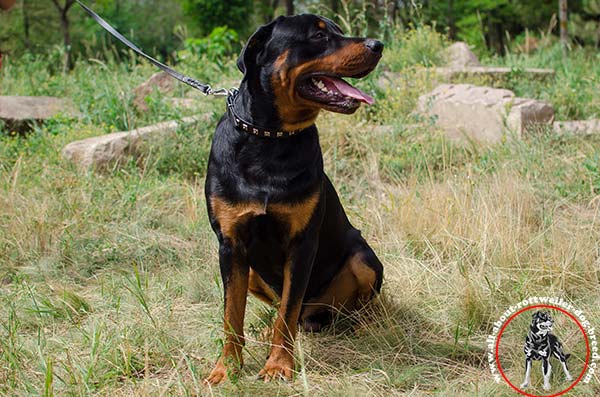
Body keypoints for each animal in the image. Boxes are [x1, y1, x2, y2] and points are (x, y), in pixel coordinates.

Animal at [204, 15, 384, 384]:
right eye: (318, 35)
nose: (378, 44)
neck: (270, 139)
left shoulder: (302, 243)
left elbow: (286, 314)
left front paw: (277, 365)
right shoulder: (230, 244)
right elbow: (232, 314)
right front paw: (227, 368)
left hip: (365, 259)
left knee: (335, 307)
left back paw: (363, 326)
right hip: (253, 272)